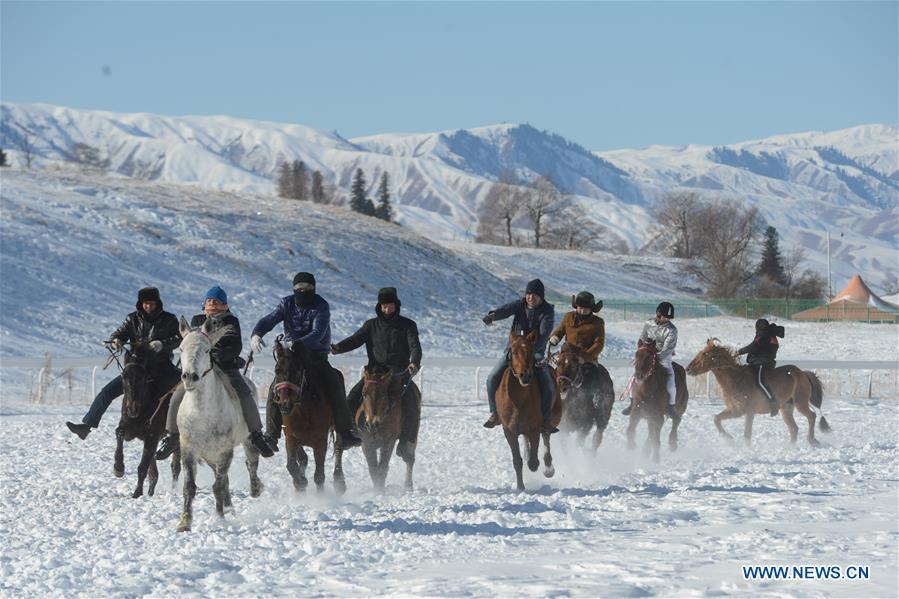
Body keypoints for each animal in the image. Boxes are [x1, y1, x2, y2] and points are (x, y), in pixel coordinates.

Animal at [115, 344, 180, 500]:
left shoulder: (152, 435)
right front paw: (118, 467)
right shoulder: (130, 429)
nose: (132, 409)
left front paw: (137, 493)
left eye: (143, 377)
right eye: (123, 376)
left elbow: (143, 467)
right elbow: (119, 433)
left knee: (176, 466)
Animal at [175, 316, 260, 532]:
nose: (190, 377)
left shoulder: (224, 452)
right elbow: (189, 487)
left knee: (251, 464)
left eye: (207, 350)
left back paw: (255, 489)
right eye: (181, 348)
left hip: (246, 441)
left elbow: (218, 486)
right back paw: (230, 508)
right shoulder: (189, 450)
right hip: (209, 455)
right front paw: (184, 523)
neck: (202, 415)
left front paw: (219, 518)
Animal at [272, 340, 346, 494]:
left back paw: (339, 481)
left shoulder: (320, 442)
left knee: (339, 448)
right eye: (277, 371)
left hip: (337, 425)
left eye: (296, 371)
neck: (303, 412)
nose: (284, 405)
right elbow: (291, 465)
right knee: (303, 458)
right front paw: (300, 483)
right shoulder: (291, 438)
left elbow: (319, 476)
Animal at [492, 330, 564, 490]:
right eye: (513, 351)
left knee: (546, 436)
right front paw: (520, 487)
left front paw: (539, 466)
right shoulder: (509, 431)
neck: (518, 400)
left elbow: (533, 462)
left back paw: (548, 468)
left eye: (531, 351)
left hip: (552, 419)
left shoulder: (534, 428)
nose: (525, 375)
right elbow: (517, 461)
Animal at [688, 340, 828, 448]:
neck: (735, 378)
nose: (688, 369)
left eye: (705, 354)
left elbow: (747, 434)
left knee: (812, 416)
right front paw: (729, 438)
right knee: (794, 428)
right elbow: (716, 419)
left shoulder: (749, 412)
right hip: (786, 408)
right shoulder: (735, 411)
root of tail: (803, 373)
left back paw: (812, 440)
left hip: (800, 403)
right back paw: (791, 447)